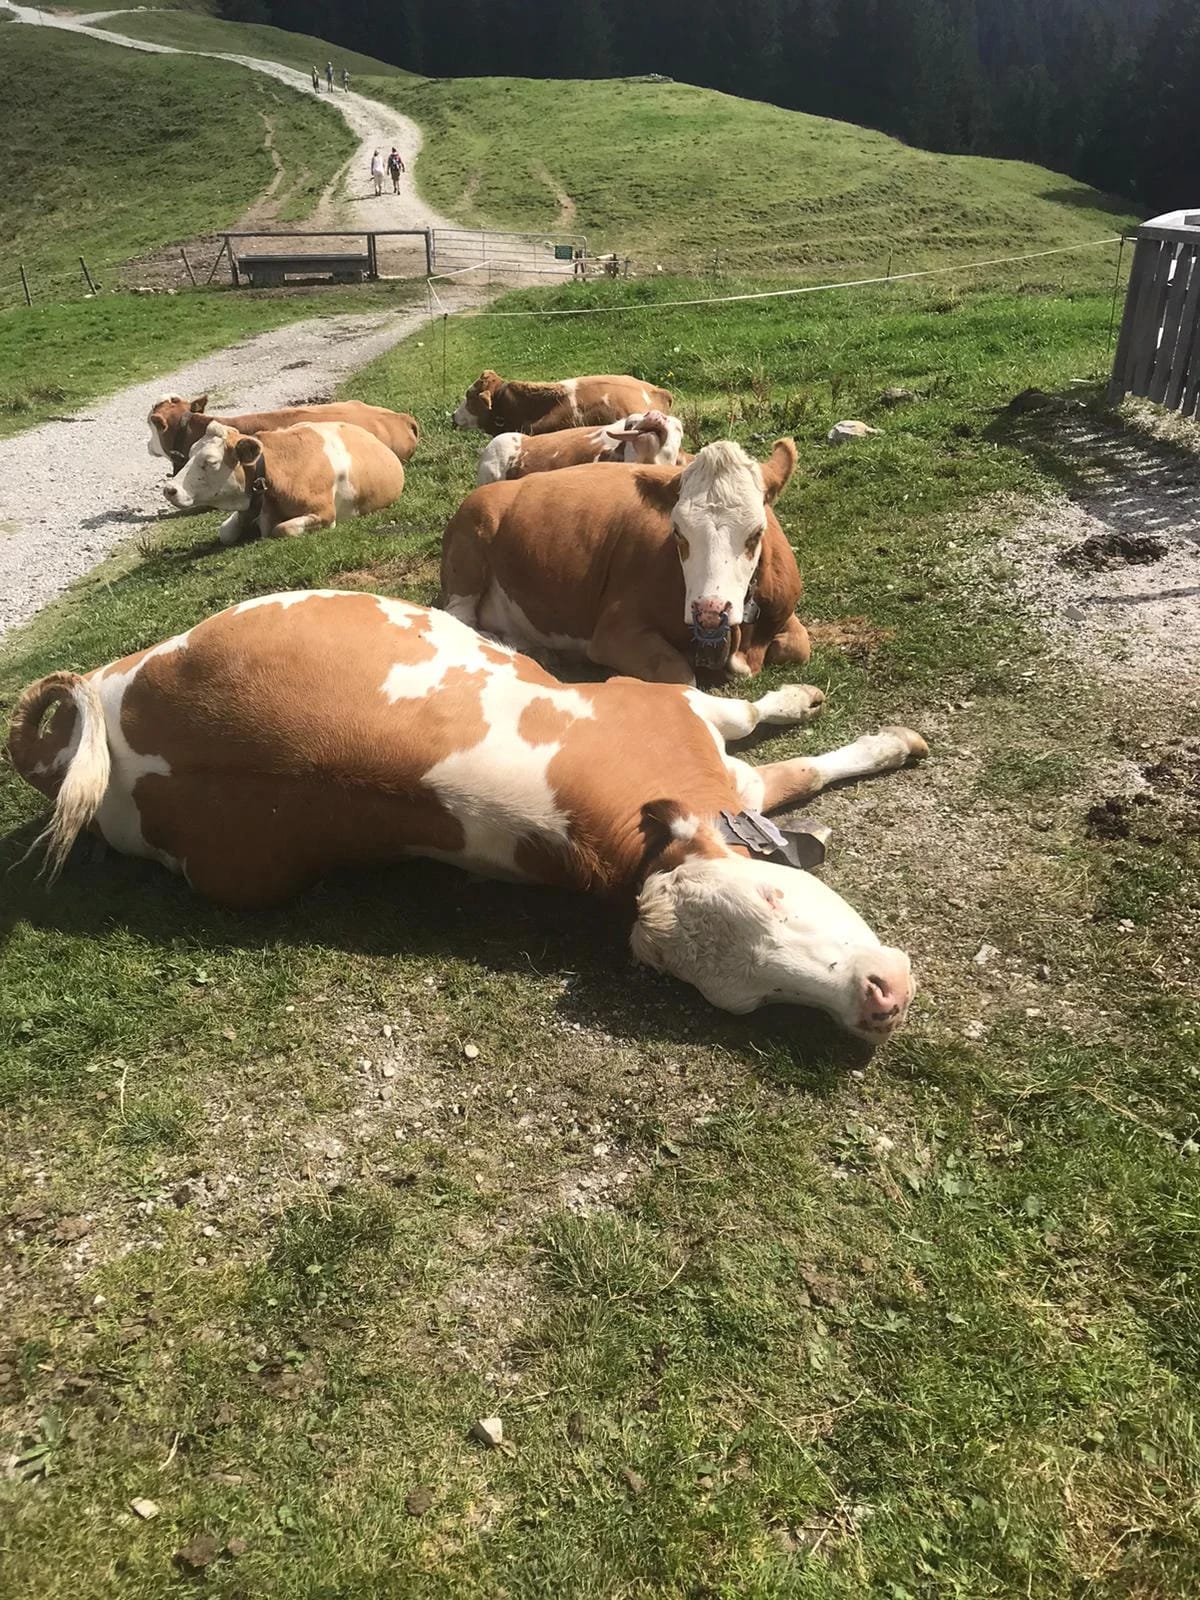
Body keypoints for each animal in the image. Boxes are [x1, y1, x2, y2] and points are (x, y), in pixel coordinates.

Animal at [7, 591, 928, 1040]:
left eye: (778, 898)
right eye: (745, 999)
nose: (878, 1003)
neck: (622, 839)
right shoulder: (664, 706)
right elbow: (789, 757)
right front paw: (878, 737)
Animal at [162, 420, 406, 545]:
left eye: (211, 461)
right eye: (190, 453)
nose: (170, 489)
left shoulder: (325, 514)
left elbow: (282, 528)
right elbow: (225, 533)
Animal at [441, 438, 810, 685]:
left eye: (756, 533)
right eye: (678, 531)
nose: (709, 611)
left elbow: (799, 645)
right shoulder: (613, 632)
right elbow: (681, 677)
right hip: (468, 553)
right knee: (459, 619)